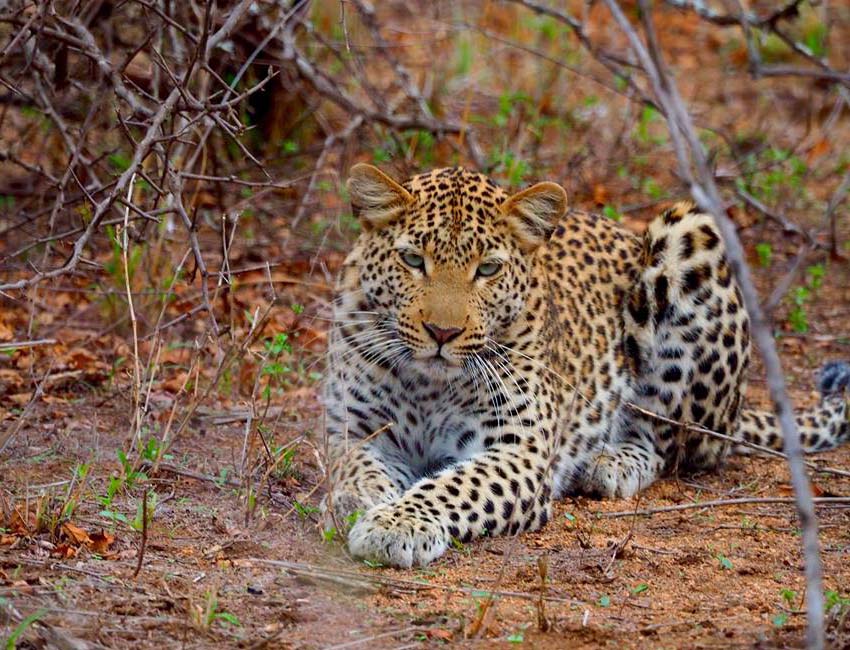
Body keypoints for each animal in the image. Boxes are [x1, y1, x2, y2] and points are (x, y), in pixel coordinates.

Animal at [321, 164, 850, 568]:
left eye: (488, 269)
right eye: (413, 260)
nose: (442, 333)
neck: (430, 384)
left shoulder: (520, 452)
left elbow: (453, 487)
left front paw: (397, 524)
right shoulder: (353, 429)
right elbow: (352, 464)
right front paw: (359, 498)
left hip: (691, 234)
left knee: (675, 446)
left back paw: (609, 463)